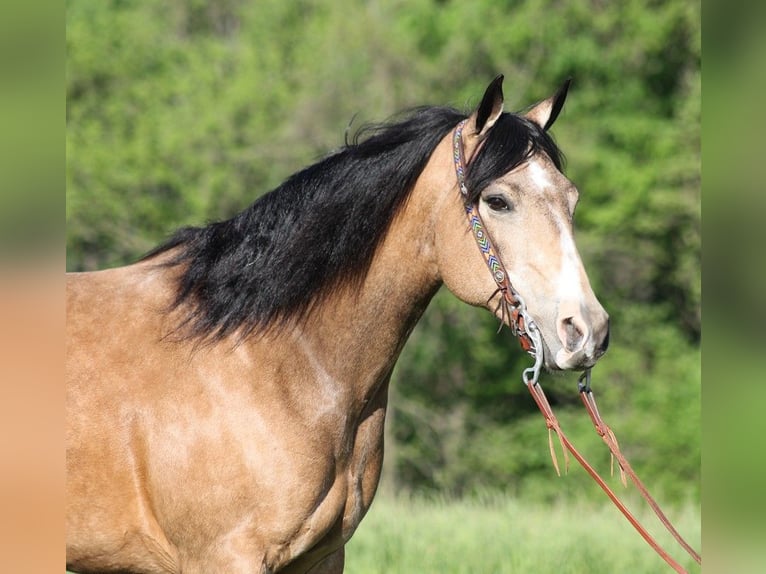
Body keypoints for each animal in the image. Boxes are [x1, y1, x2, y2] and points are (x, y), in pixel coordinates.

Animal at [69, 77, 616, 574]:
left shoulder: (322, 557)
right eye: (498, 201)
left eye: (571, 198)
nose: (587, 330)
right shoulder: (224, 558)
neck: (268, 358)